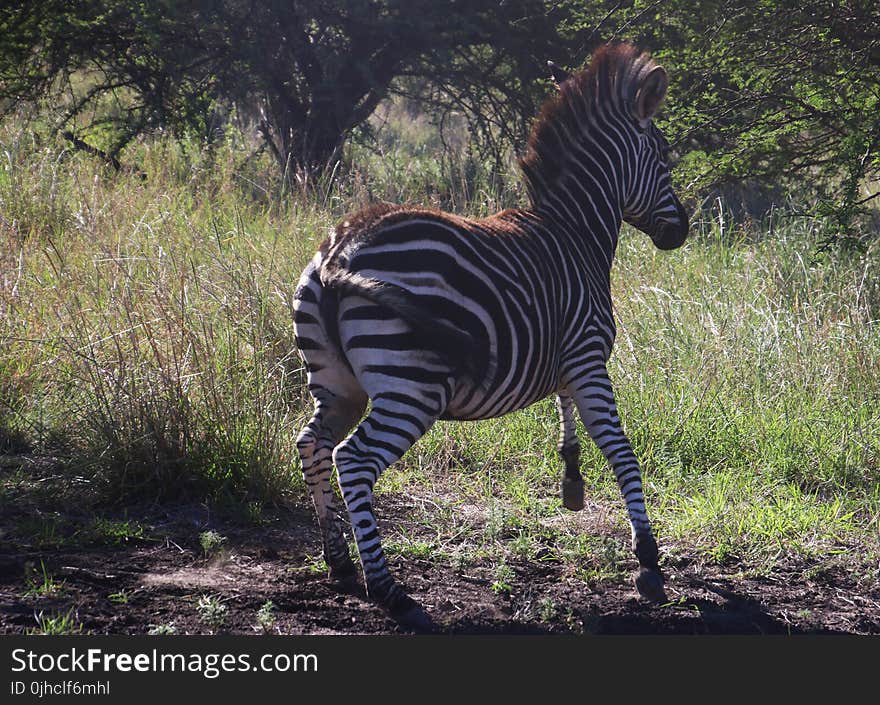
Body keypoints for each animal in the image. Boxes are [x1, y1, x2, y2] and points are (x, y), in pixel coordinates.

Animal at [292, 44, 692, 628]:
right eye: (664, 158)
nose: (680, 231)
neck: (576, 232)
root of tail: (340, 250)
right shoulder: (590, 356)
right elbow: (620, 449)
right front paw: (648, 561)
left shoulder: (566, 357)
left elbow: (569, 418)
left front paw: (572, 483)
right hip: (411, 386)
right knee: (353, 460)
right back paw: (389, 590)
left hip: (337, 384)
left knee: (313, 444)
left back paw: (340, 563)